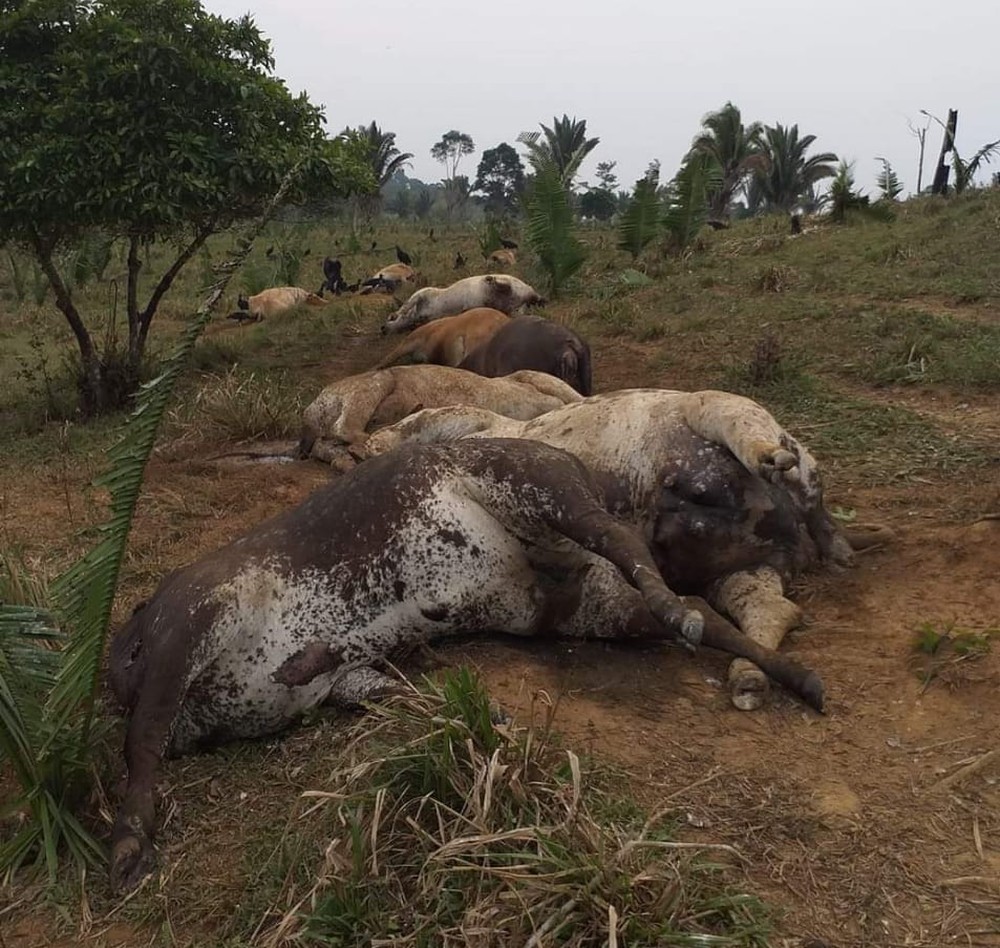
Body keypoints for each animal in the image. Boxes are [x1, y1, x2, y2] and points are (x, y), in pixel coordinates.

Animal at [109, 440, 824, 892]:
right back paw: (792, 675)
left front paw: (129, 840)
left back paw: (685, 614)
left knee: (627, 548)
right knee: (696, 612)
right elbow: (399, 694)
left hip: (541, 491)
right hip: (573, 603)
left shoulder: (190, 624)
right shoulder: (341, 681)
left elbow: (140, 741)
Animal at [364, 386, 888, 712]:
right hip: (744, 572)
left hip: (718, 412)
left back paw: (787, 477)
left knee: (782, 461)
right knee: (772, 608)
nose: (364, 445)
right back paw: (748, 677)